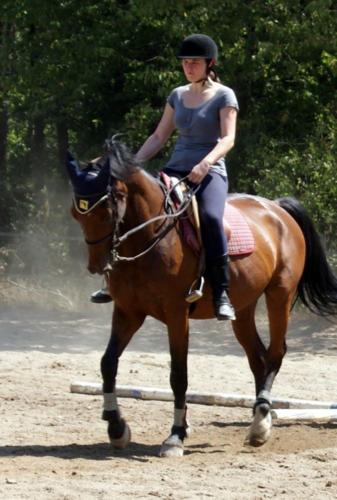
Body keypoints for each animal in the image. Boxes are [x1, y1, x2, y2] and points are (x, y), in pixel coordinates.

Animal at [66, 138, 337, 458]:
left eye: (107, 209)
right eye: (76, 213)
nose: (98, 265)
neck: (150, 234)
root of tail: (277, 209)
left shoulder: (176, 313)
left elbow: (178, 374)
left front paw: (175, 436)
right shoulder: (127, 311)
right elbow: (108, 362)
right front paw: (116, 427)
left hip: (280, 295)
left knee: (275, 352)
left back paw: (260, 423)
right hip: (243, 307)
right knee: (257, 357)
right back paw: (261, 420)